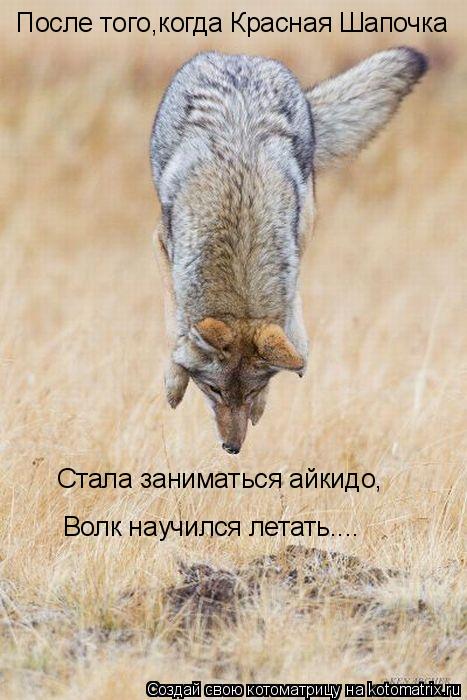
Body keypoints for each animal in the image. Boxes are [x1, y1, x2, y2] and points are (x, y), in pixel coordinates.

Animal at [150, 48, 427, 454]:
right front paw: (174, 380)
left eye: (253, 391)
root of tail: (241, 58)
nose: (232, 448)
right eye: (214, 389)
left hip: (308, 216)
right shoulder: (162, 243)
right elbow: (175, 326)